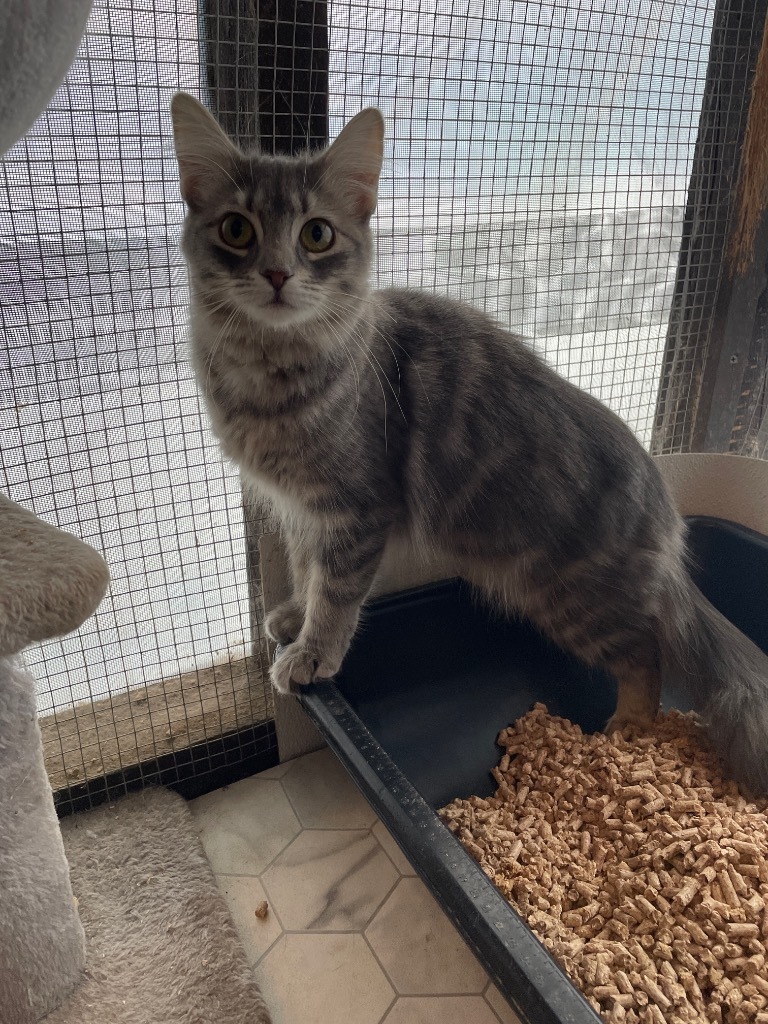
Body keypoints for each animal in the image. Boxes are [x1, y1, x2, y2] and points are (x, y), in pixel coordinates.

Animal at [171, 94, 768, 790]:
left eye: (316, 234)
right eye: (236, 229)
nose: (275, 274)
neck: (268, 373)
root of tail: (667, 517)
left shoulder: (356, 508)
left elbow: (336, 594)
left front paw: (311, 653)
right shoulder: (300, 508)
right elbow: (304, 569)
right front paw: (294, 618)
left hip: (575, 600)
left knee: (647, 654)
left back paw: (628, 727)